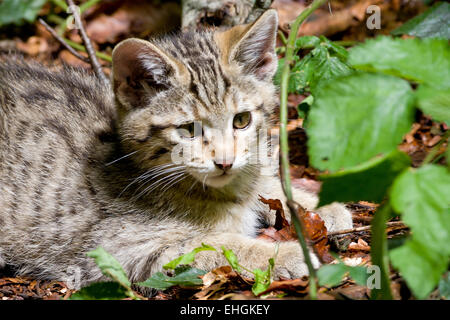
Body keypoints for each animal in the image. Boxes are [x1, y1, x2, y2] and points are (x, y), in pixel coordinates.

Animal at [0, 9, 352, 290]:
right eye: (188, 129)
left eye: (241, 120)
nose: (225, 162)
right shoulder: (118, 250)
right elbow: (216, 247)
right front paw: (288, 254)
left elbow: (264, 185)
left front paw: (319, 205)